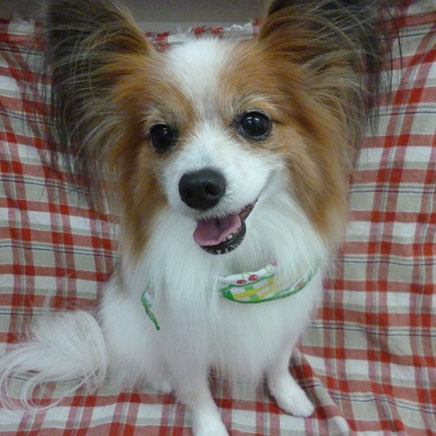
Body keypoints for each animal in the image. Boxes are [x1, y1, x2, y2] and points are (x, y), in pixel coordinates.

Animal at [0, 0, 393, 434]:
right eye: (160, 135)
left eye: (255, 122)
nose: (199, 186)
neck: (240, 274)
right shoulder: (183, 343)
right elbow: (198, 392)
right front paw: (209, 426)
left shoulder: (283, 320)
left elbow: (277, 364)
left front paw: (290, 396)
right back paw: (159, 378)